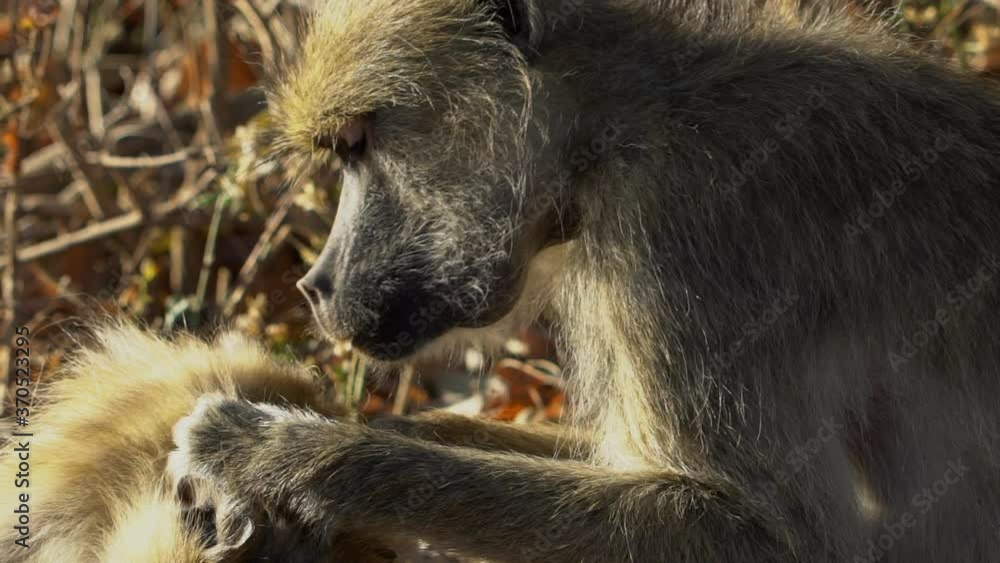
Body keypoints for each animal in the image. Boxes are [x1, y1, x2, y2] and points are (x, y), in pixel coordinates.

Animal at [173, 0, 1000, 561]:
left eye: (356, 143)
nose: (315, 285)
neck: (626, 124)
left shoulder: (684, 238)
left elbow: (776, 535)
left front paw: (279, 454)